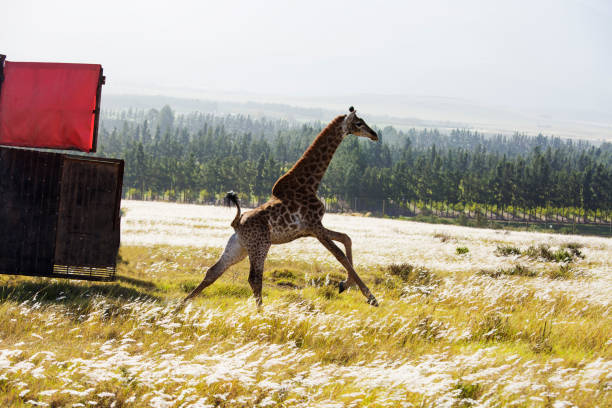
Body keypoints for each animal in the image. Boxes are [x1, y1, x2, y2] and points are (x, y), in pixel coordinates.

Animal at [184, 107, 380, 306]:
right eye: (359, 123)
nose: (375, 135)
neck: (311, 184)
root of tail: (237, 222)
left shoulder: (311, 229)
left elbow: (346, 238)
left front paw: (344, 285)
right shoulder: (315, 226)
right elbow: (339, 254)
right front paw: (370, 296)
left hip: (238, 247)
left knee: (213, 272)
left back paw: (180, 307)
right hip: (260, 245)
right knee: (254, 278)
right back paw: (261, 312)